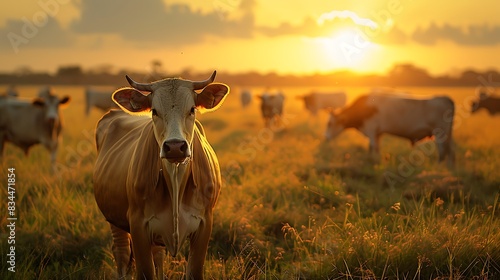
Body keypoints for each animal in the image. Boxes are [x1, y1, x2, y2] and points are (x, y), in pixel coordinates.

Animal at [93, 71, 229, 278]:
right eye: (154, 111)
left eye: (192, 109)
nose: (175, 146)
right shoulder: (138, 226)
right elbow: (145, 271)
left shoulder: (205, 224)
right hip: (114, 218)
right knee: (122, 252)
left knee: (157, 255)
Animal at [326, 93, 456, 166]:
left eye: (329, 123)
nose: (325, 137)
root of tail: (445, 98)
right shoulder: (378, 133)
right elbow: (376, 147)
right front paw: (376, 160)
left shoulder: (371, 130)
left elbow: (372, 146)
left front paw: (373, 160)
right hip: (448, 134)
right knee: (451, 150)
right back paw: (449, 167)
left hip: (440, 133)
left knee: (442, 151)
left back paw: (438, 167)